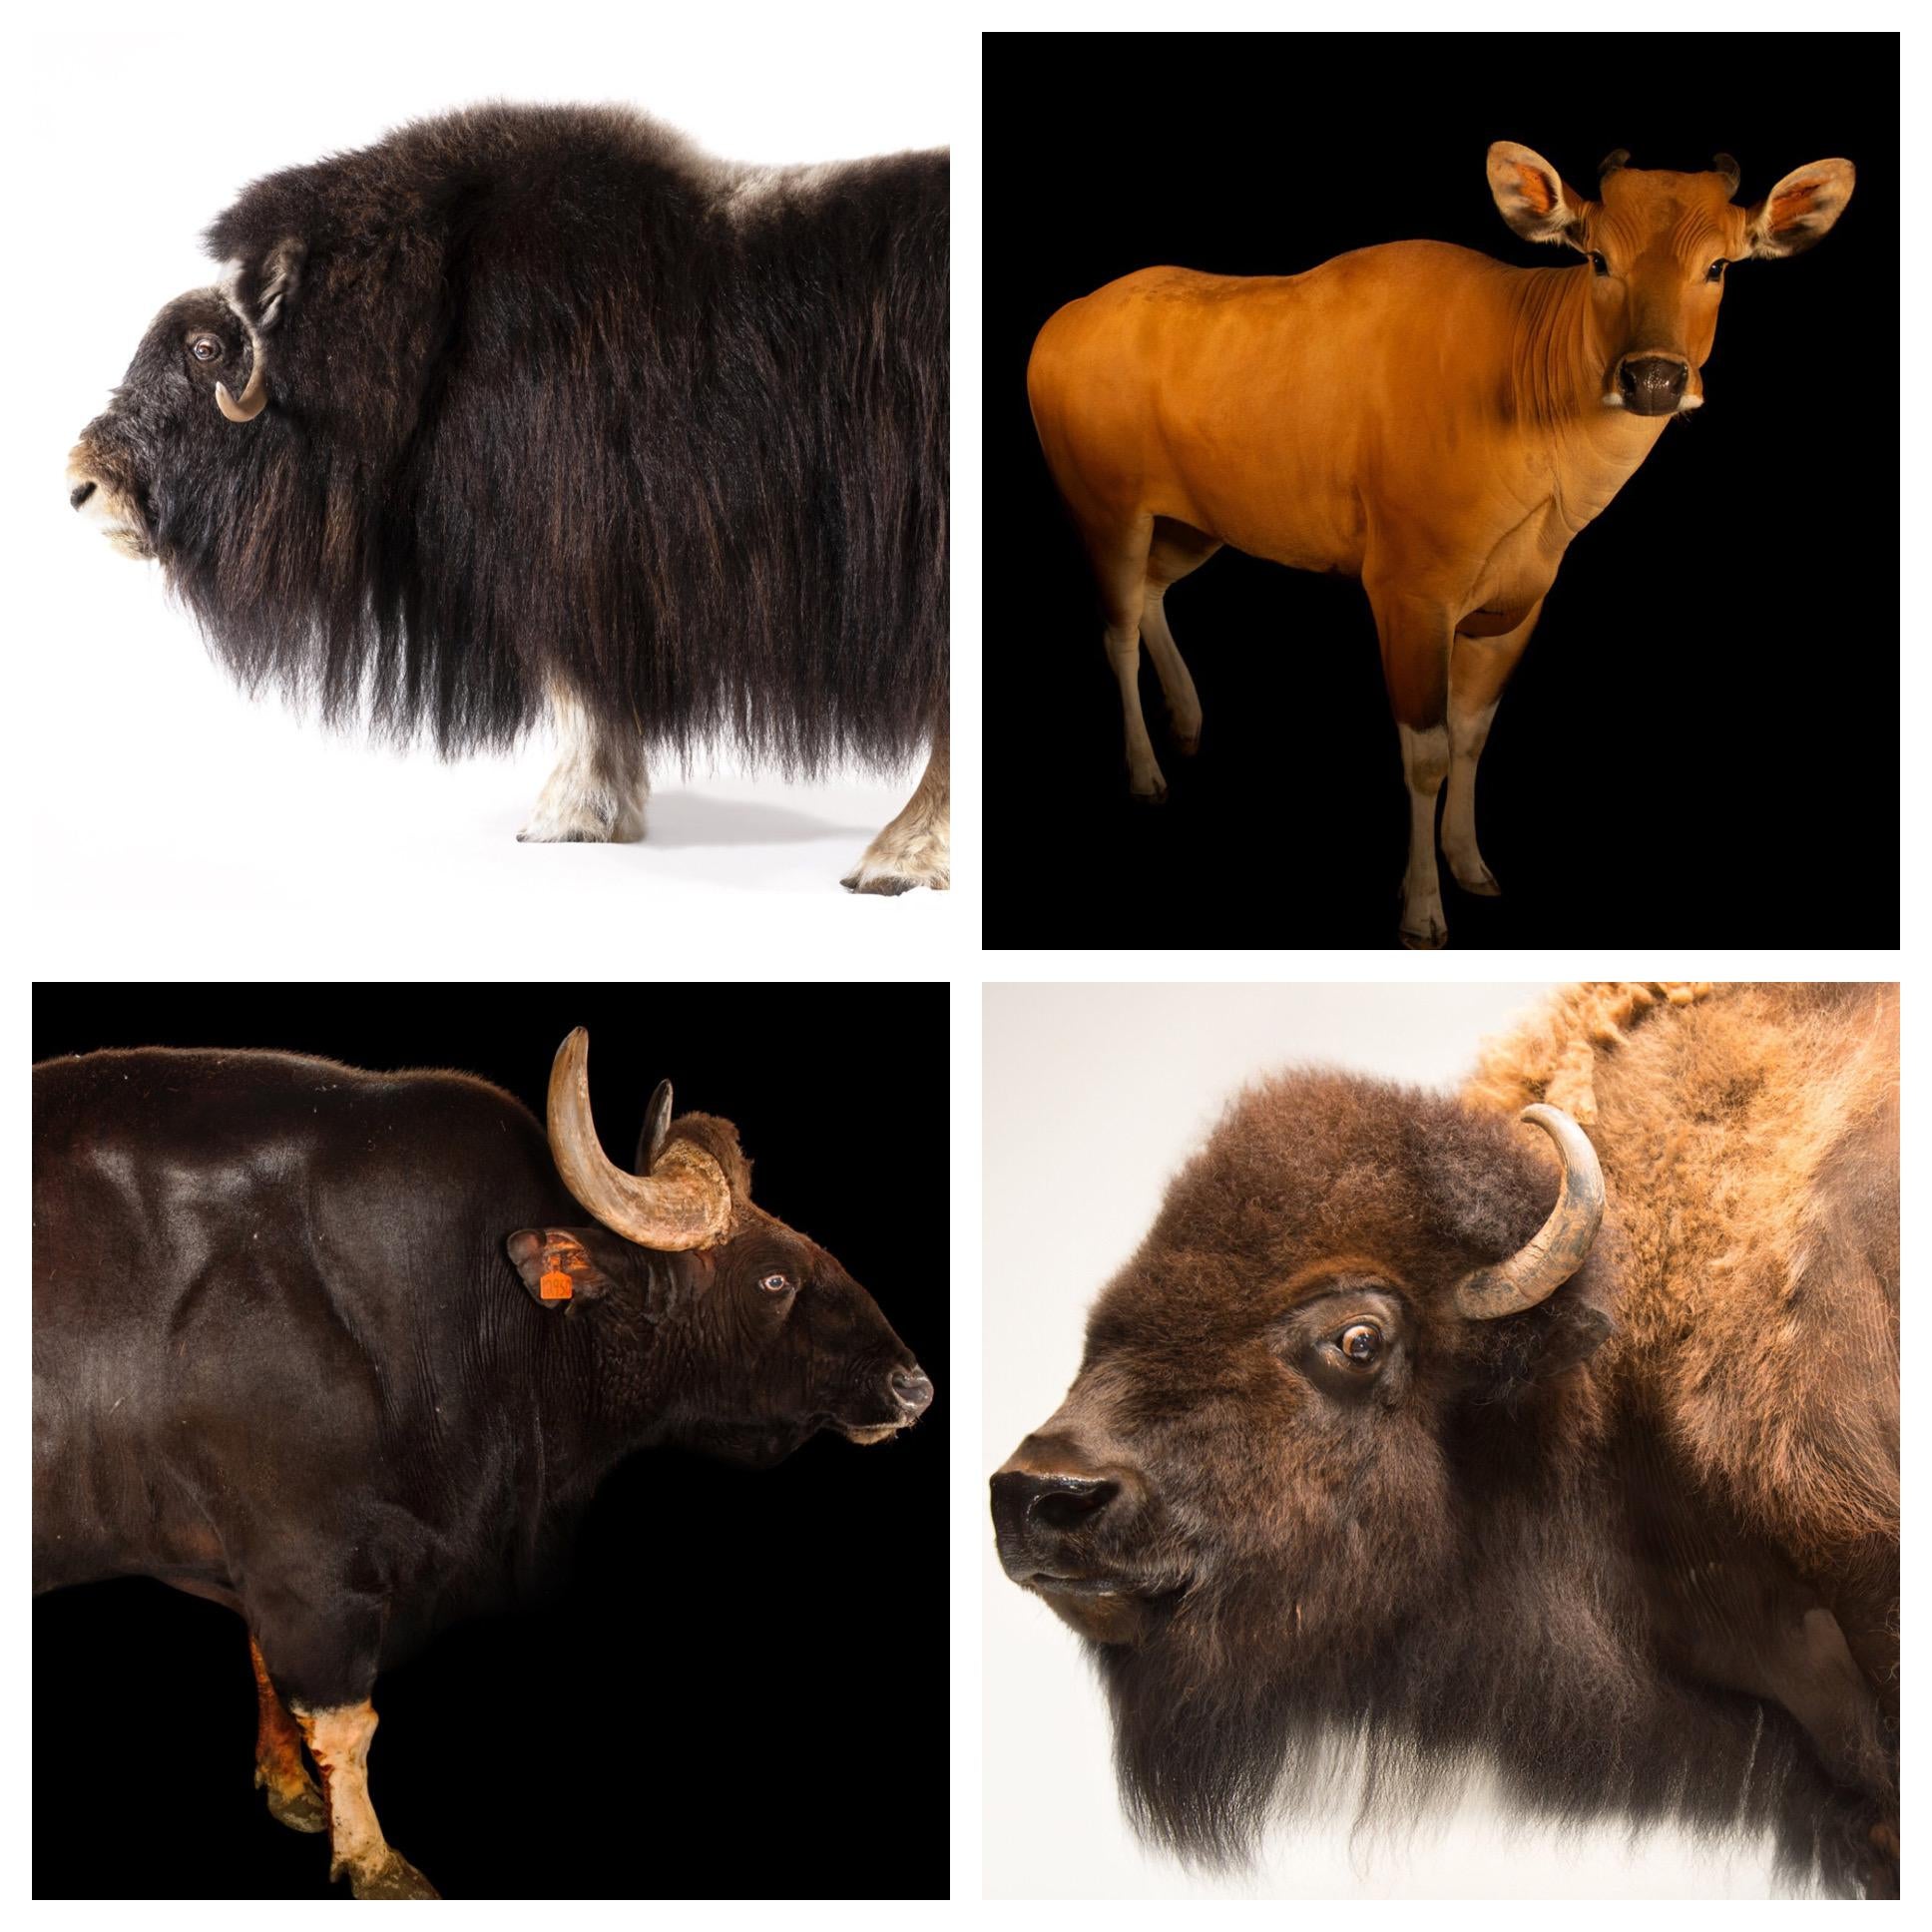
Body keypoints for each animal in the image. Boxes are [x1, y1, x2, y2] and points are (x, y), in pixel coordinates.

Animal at [34, 1028, 934, 1898]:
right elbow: (346, 1719)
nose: (913, 1385)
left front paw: (290, 1790)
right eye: (774, 1278)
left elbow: (262, 1666)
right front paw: (375, 1864)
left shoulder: (258, 1567)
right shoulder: (312, 1569)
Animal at [65, 103, 948, 894]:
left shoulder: (560, 542)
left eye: (206, 348)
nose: (82, 483)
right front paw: (594, 816)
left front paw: (565, 814)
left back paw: (897, 859)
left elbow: (577, 683)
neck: (422, 341)